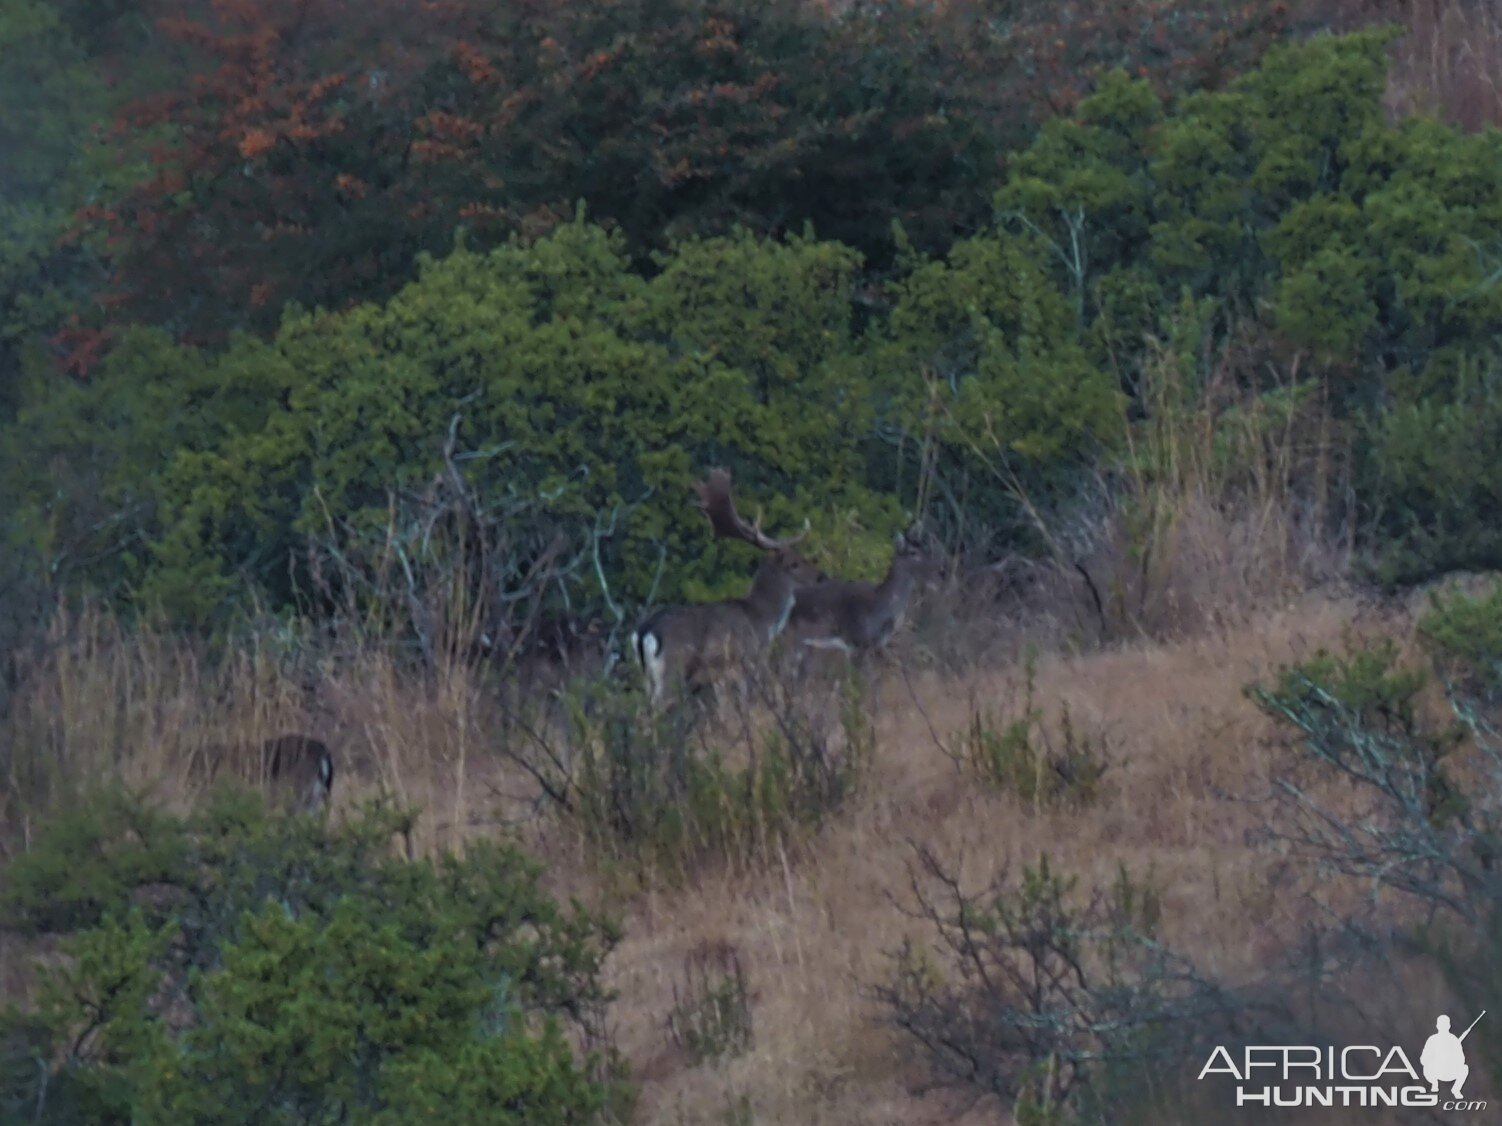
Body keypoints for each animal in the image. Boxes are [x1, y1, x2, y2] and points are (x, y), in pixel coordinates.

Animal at [630, 468, 829, 705]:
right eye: (794, 563)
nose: (822, 577)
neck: (764, 619)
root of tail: (645, 631)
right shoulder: (746, 660)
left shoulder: (720, 676)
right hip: (673, 668)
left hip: (647, 678)